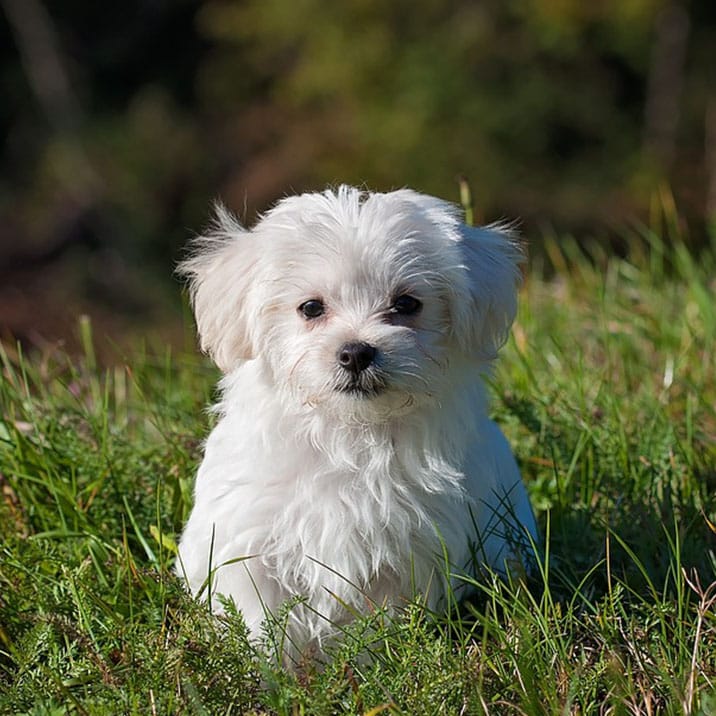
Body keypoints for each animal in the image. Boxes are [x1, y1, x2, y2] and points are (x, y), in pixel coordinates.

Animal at [176, 186, 536, 660]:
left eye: (406, 304)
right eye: (311, 308)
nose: (355, 352)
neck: (349, 433)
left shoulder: (406, 554)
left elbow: (377, 626)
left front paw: (370, 666)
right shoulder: (249, 544)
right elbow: (260, 621)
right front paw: (268, 671)